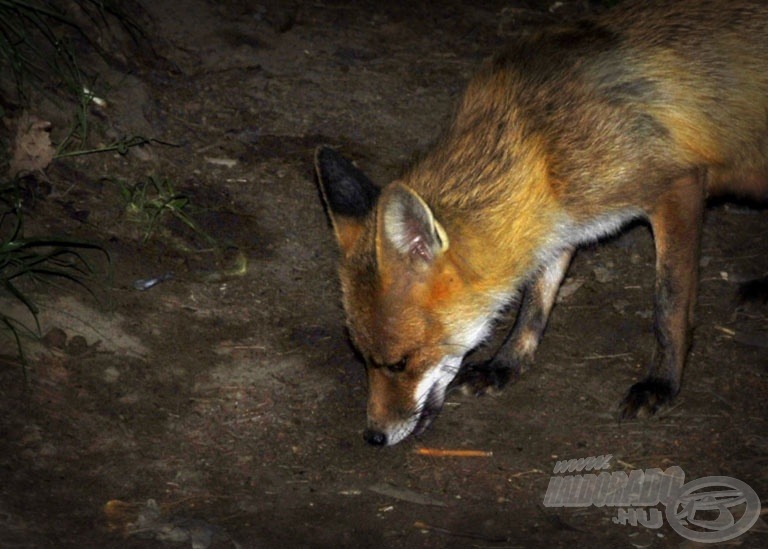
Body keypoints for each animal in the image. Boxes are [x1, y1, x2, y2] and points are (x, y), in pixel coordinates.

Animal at [314, 0, 768, 446]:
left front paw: (661, 384)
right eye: (363, 359)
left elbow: (669, 307)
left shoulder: (679, 188)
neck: (540, 144)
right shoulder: (559, 226)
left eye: (399, 363)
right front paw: (506, 364)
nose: (374, 436)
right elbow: (534, 304)